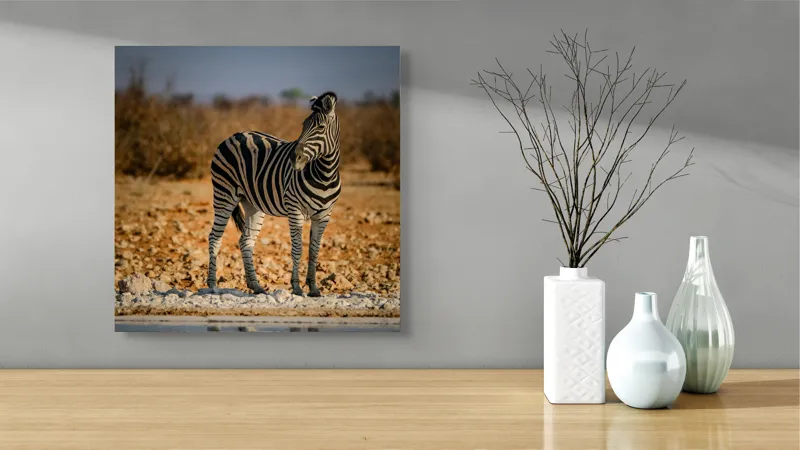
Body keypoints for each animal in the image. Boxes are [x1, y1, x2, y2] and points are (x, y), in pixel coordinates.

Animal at [207, 92, 341, 297]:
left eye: (320, 127)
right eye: (303, 125)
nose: (294, 158)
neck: (324, 176)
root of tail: (235, 135)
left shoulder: (325, 215)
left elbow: (314, 250)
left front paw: (314, 288)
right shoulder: (295, 210)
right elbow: (297, 249)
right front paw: (296, 288)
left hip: (252, 204)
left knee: (246, 241)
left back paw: (256, 286)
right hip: (224, 194)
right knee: (215, 237)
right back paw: (213, 286)